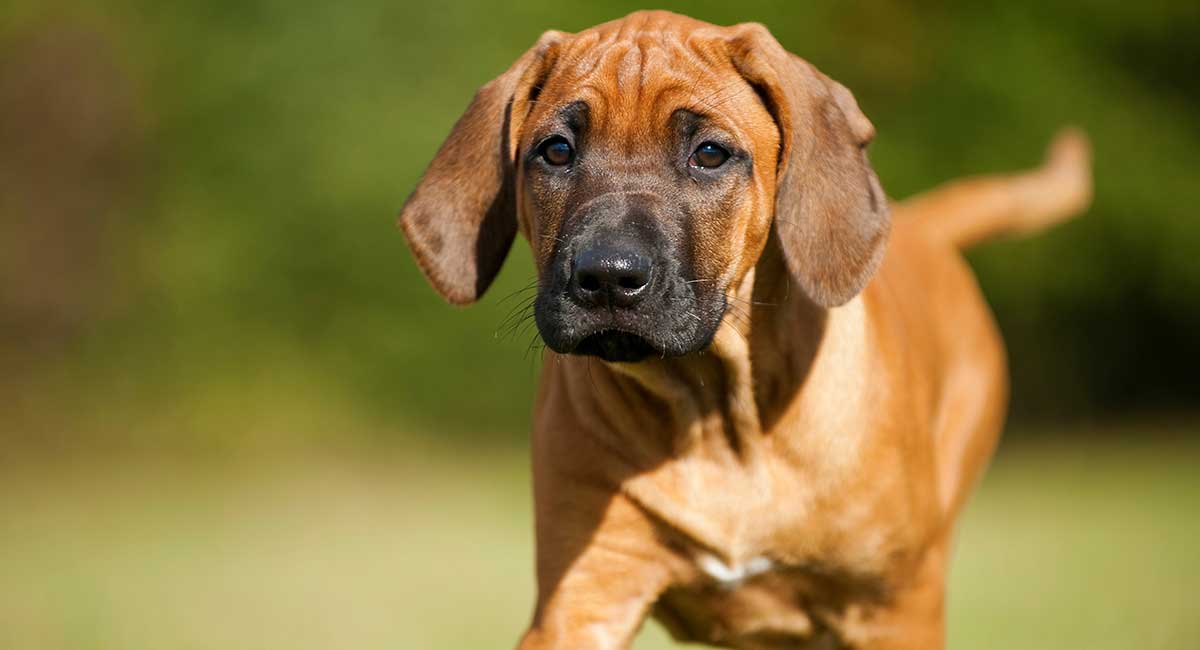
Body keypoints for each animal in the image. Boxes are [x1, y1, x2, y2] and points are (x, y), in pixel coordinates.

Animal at [398, 11, 1094, 650]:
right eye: (556, 151)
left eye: (709, 154)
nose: (607, 276)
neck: (718, 413)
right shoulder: (584, 596)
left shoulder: (893, 610)